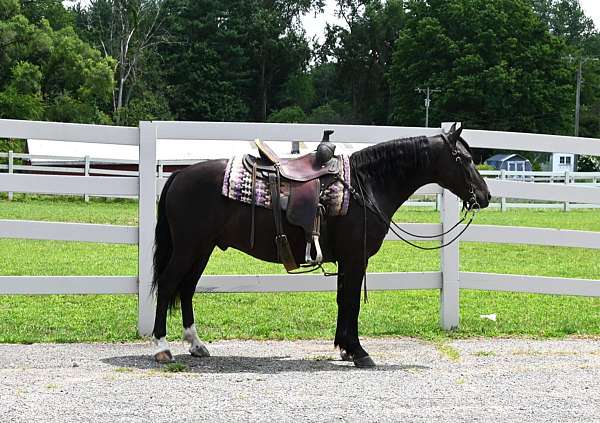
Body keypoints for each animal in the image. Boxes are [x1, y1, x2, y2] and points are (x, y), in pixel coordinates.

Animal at [149, 125, 488, 368]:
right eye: (465, 159)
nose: (484, 196)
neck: (365, 184)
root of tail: (179, 175)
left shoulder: (348, 261)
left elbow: (343, 301)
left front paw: (345, 349)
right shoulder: (355, 258)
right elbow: (351, 302)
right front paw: (358, 352)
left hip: (202, 249)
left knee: (187, 289)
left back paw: (196, 345)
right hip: (188, 248)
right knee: (167, 285)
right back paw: (163, 348)